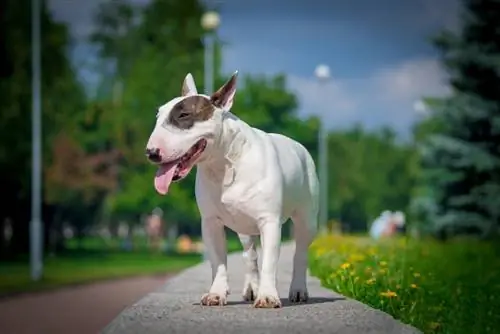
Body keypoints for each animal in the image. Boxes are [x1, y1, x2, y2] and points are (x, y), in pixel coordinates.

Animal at [145, 71, 318, 308]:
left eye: (184, 115)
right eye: (158, 116)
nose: (151, 152)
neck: (224, 164)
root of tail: (300, 147)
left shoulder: (269, 221)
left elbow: (270, 261)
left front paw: (267, 297)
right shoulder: (210, 222)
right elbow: (218, 261)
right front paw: (216, 294)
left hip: (306, 219)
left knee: (300, 252)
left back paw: (298, 290)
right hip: (244, 226)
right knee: (250, 255)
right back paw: (251, 288)